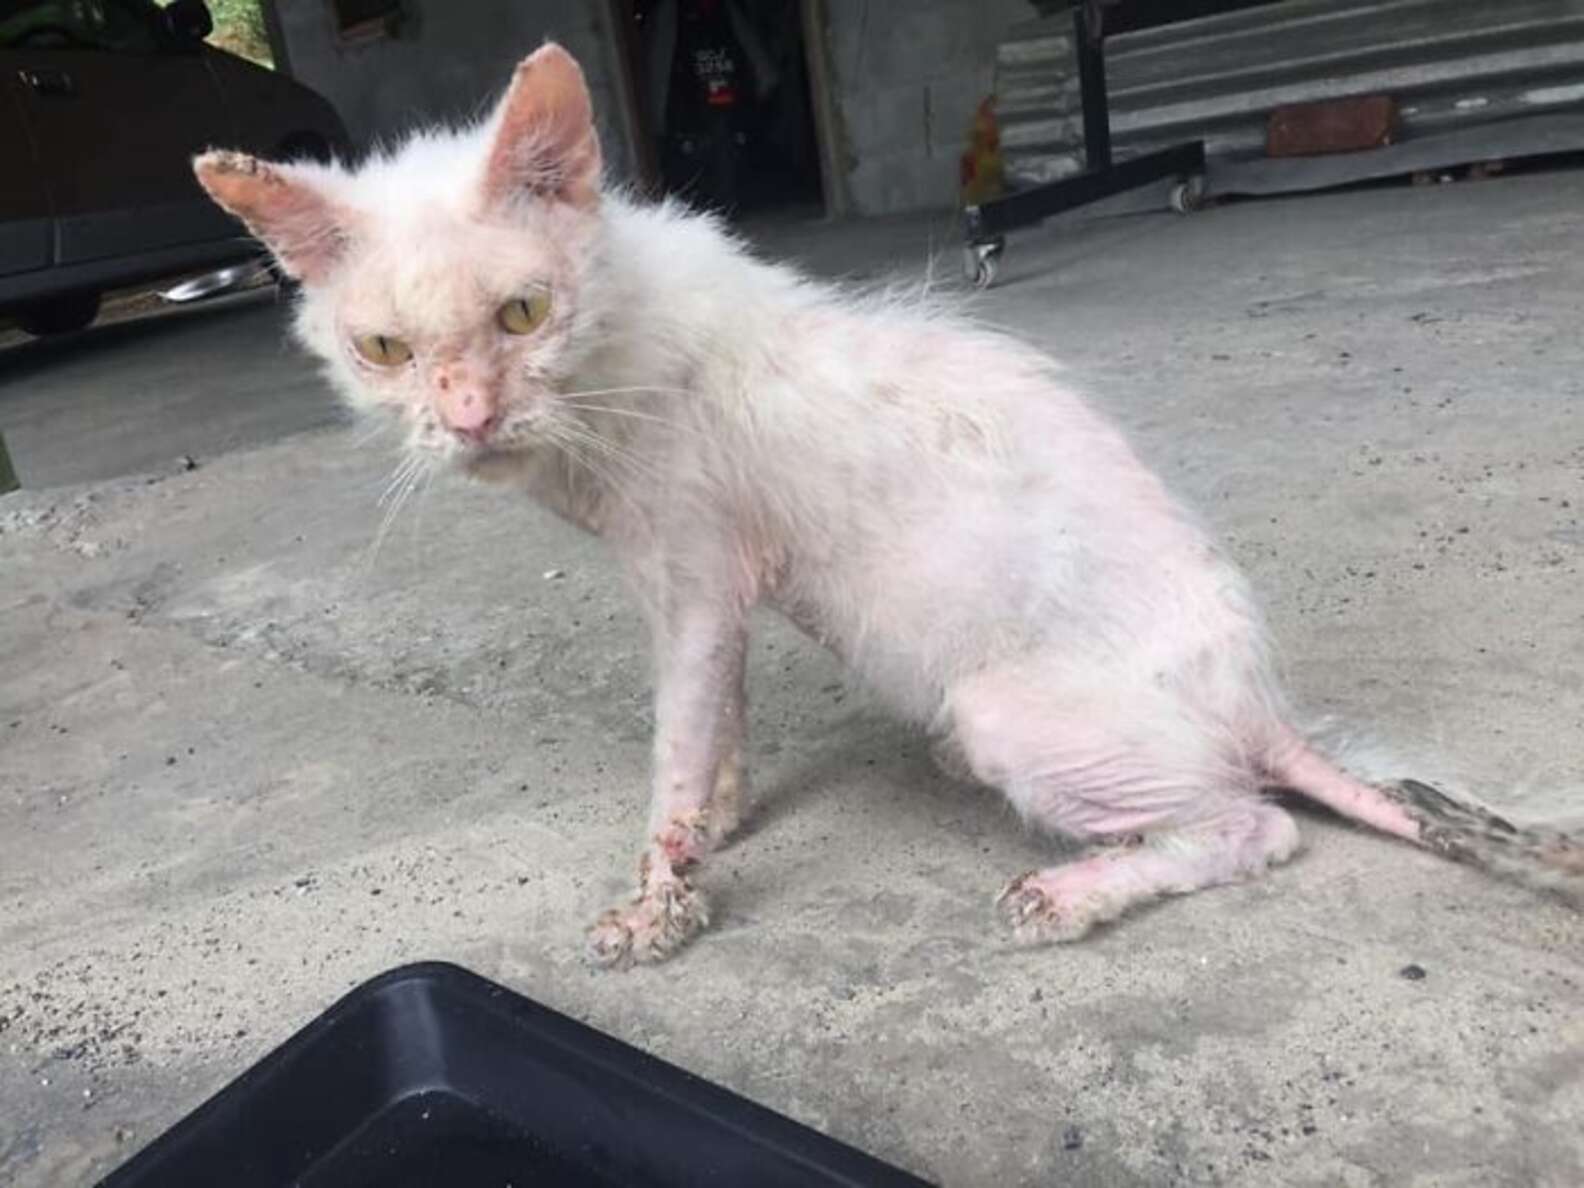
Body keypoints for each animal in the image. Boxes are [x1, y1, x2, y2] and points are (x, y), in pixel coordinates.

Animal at [191, 44, 1577, 969]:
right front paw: (720, 827)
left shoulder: (694, 581)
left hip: (1005, 711)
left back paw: (1074, 894)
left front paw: (660, 895)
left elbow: (674, 746)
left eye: (523, 313)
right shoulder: (710, 593)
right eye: (381, 349)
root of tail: (1264, 704)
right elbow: (720, 729)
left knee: (1256, 825)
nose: (470, 418)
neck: (602, 382)